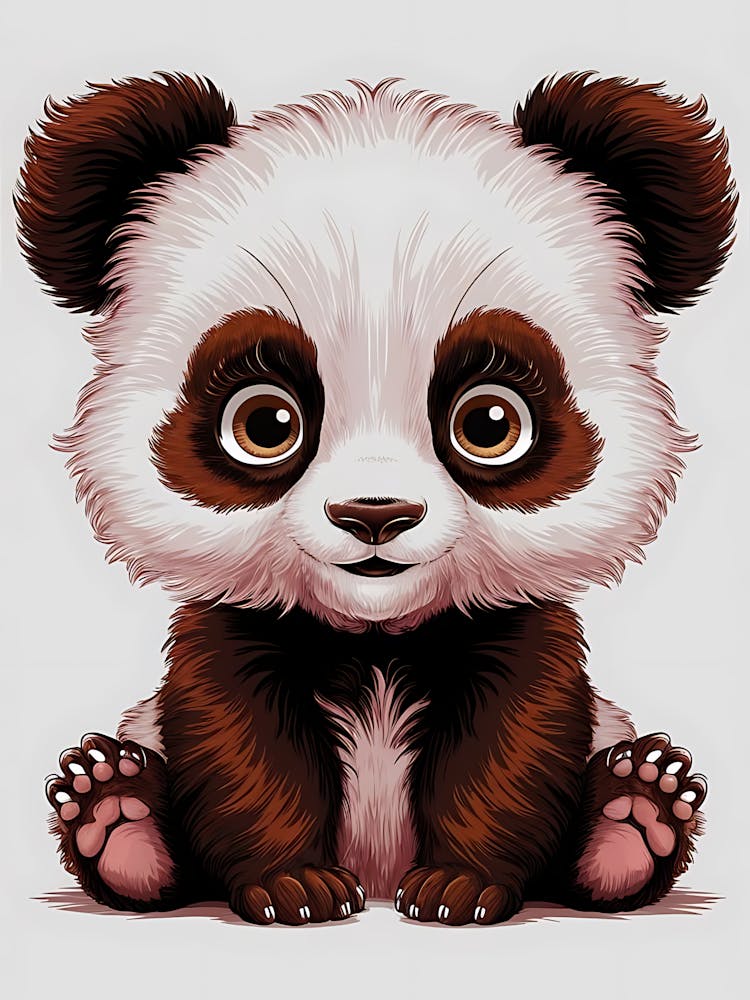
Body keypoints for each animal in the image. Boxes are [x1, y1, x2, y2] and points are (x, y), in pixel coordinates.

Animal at [17, 72, 735, 925]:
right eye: (266, 423)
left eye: (488, 423)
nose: (375, 516)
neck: (376, 637)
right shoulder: (232, 631)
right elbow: (242, 747)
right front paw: (293, 886)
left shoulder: (519, 630)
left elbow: (510, 747)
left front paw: (461, 886)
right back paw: (117, 816)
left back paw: (634, 816)